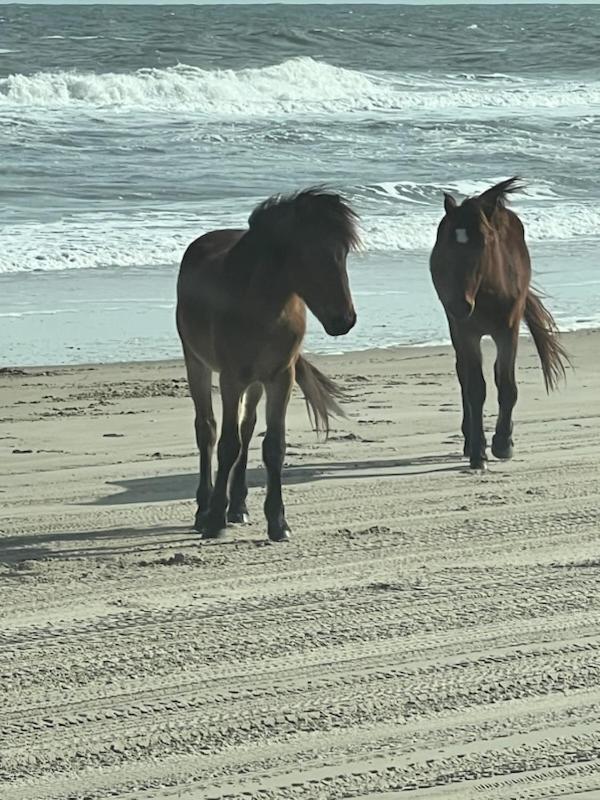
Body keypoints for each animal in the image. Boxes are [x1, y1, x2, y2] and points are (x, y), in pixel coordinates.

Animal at [176, 185, 358, 540]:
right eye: (310, 252)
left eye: (343, 253)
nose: (344, 320)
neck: (261, 307)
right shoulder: (231, 378)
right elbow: (227, 444)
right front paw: (214, 520)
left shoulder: (279, 377)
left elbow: (273, 445)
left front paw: (278, 522)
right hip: (197, 363)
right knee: (207, 429)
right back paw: (204, 509)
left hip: (256, 382)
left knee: (247, 429)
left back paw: (238, 507)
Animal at [432, 177, 568, 468]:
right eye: (447, 242)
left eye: (484, 242)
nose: (460, 304)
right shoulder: (467, 332)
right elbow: (475, 387)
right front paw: (478, 452)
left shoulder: (508, 330)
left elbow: (506, 384)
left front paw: (503, 444)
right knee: (463, 374)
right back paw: (470, 440)